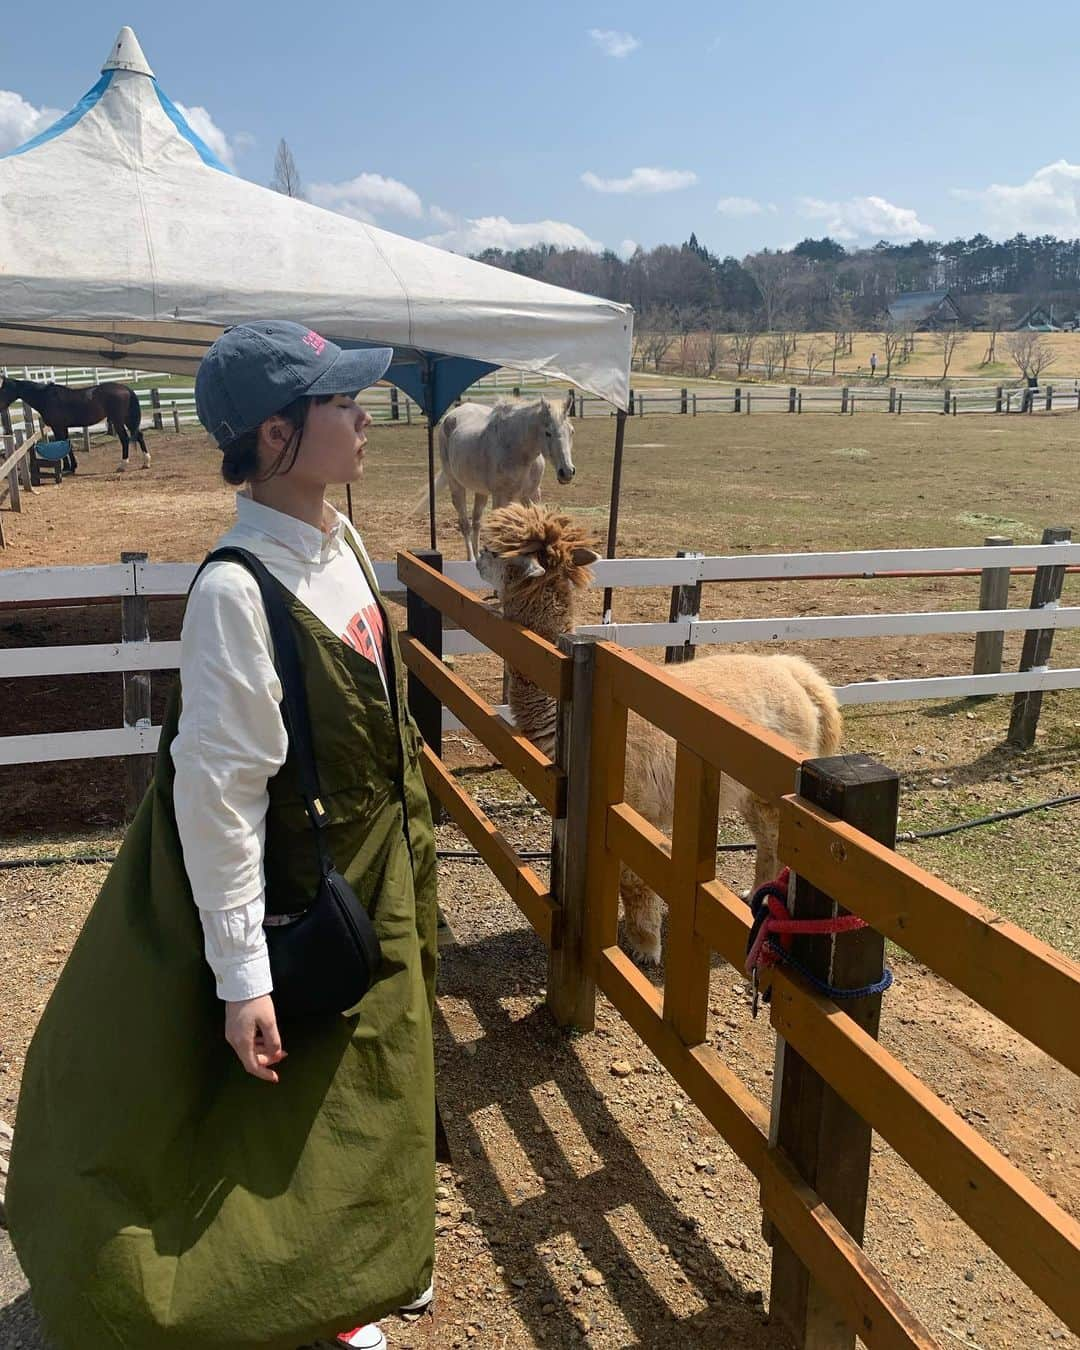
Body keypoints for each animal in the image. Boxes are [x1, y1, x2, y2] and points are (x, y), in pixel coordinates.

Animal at [0, 378, 149, 477]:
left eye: (3, 389)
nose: (0, 406)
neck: (46, 397)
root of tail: (126, 389)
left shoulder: (57, 427)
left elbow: (62, 444)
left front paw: (67, 468)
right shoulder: (63, 427)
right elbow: (68, 445)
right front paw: (72, 467)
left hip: (118, 421)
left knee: (125, 439)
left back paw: (122, 466)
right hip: (128, 420)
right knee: (139, 436)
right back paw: (146, 463)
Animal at [423, 394, 572, 558]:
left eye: (571, 431)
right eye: (548, 432)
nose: (567, 472)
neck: (519, 451)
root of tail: (450, 416)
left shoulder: (531, 495)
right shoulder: (501, 496)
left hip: (481, 492)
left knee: (476, 522)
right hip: (456, 485)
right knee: (465, 524)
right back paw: (471, 558)